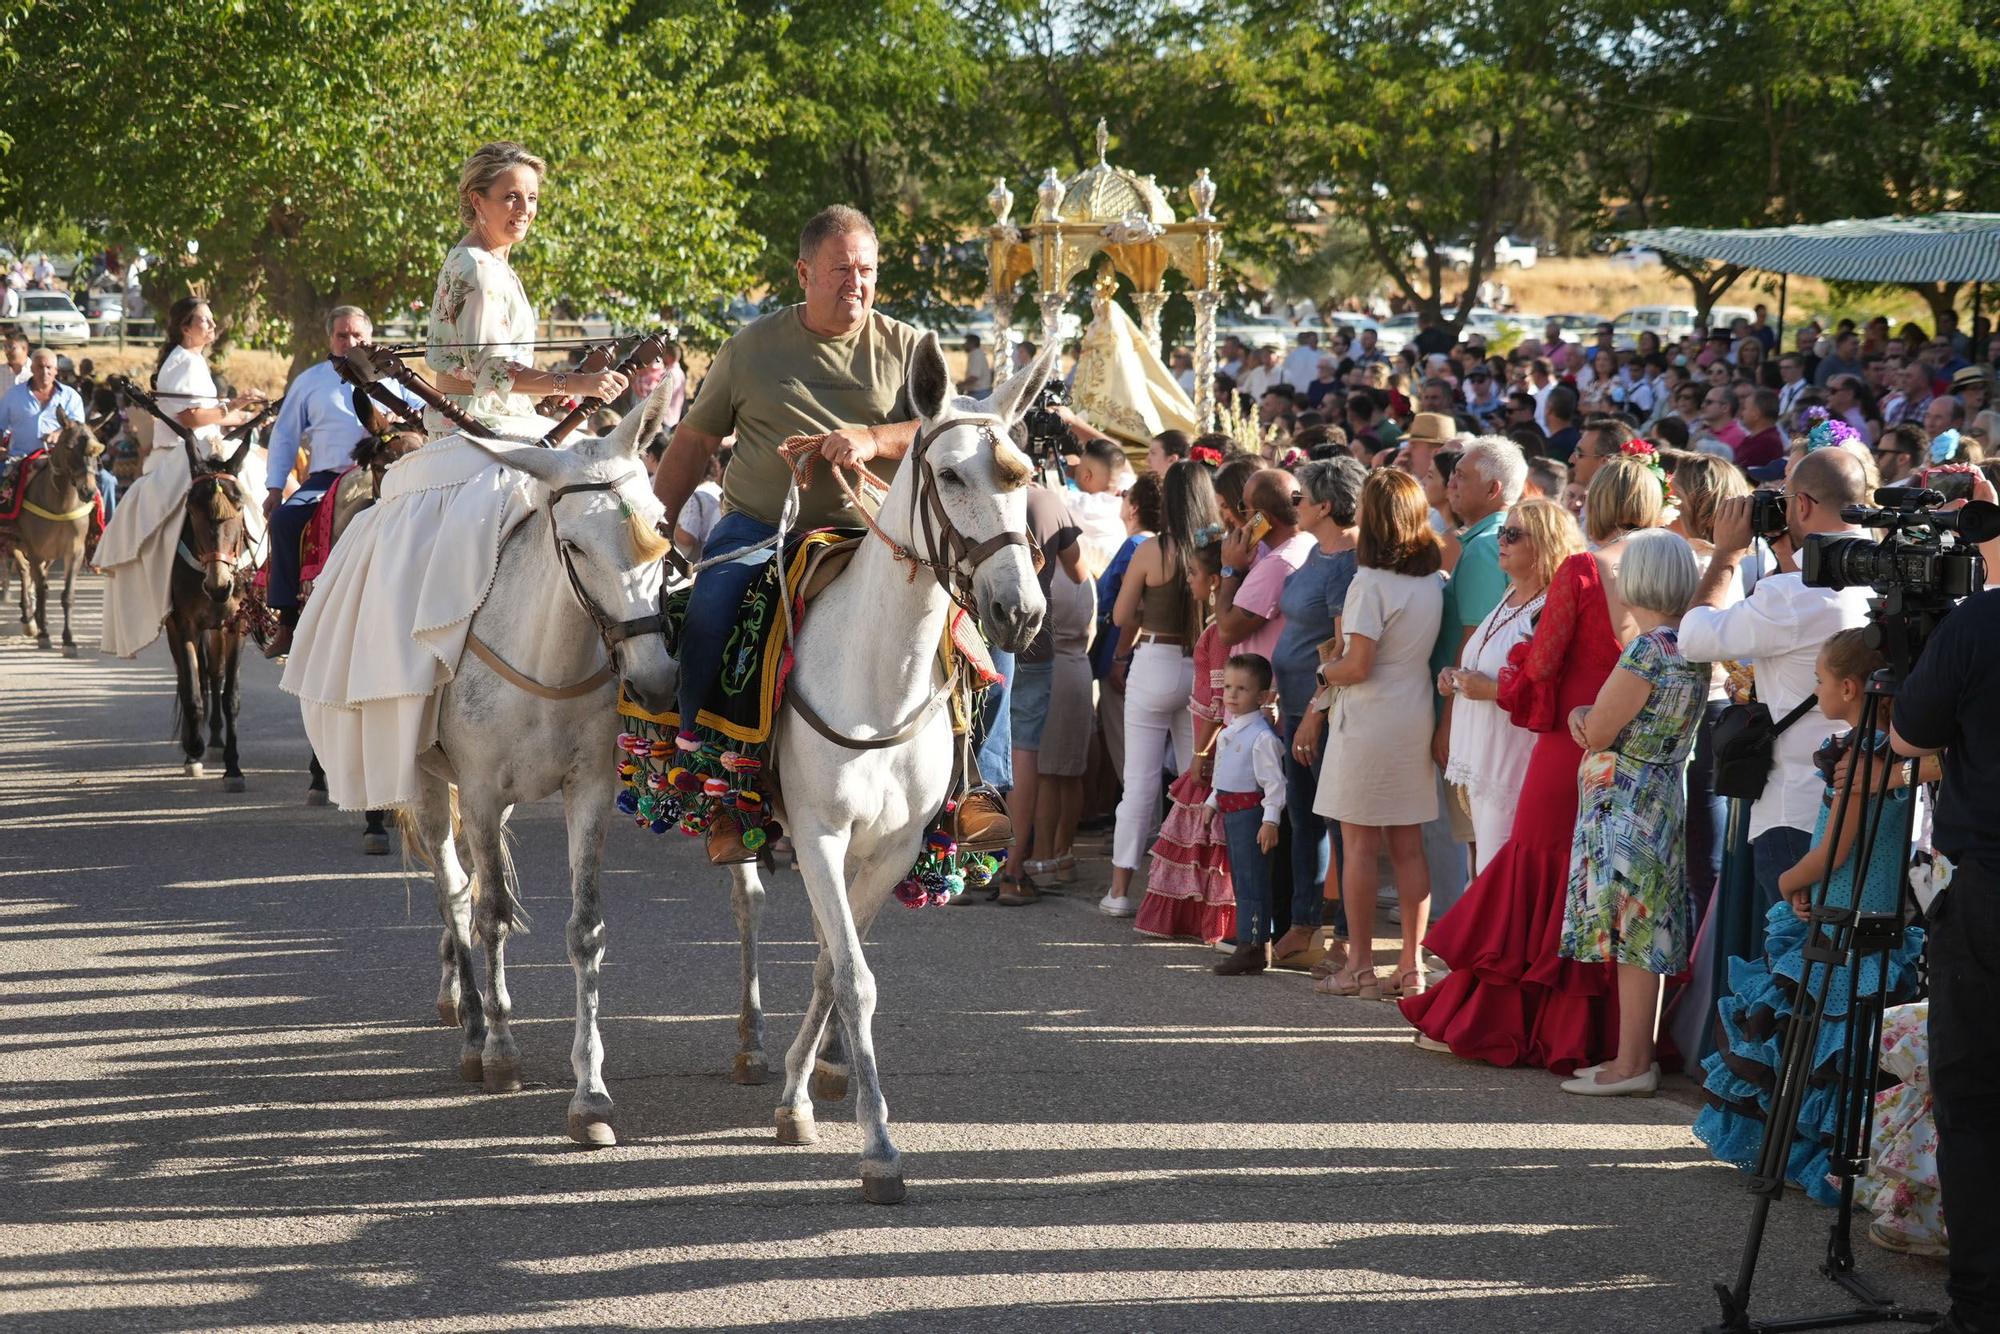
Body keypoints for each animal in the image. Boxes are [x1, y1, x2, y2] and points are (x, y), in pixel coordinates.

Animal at [1, 412, 103, 652]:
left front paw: (68, 639)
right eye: (69, 447)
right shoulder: (36, 550)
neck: (60, 505)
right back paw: (29, 619)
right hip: (15, 541)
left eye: (96, 451)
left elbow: (67, 594)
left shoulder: (74, 552)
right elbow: (41, 590)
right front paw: (44, 634)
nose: (88, 491)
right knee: (25, 573)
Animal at [169, 438, 258, 792]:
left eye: (240, 505)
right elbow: (192, 690)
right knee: (191, 678)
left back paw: (218, 739)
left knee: (215, 673)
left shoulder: (237, 624)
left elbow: (230, 694)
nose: (218, 586)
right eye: (191, 509)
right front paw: (193, 749)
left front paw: (234, 767)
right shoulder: (184, 624)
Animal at [402, 386, 684, 1152]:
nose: (656, 681)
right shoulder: (479, 791)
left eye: (659, 524)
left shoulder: (588, 791)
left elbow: (585, 931)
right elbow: (491, 917)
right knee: (454, 890)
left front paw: (591, 1095)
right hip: (431, 785)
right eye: (575, 544)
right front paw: (500, 1051)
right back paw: (472, 1028)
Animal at [724, 332, 1064, 1200]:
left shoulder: (889, 846)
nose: (1022, 612)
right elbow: (851, 975)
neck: (877, 680)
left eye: (1024, 475)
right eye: (950, 476)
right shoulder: (818, 833)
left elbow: (832, 965)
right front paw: (876, 1144)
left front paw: (803, 1095)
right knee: (738, 905)